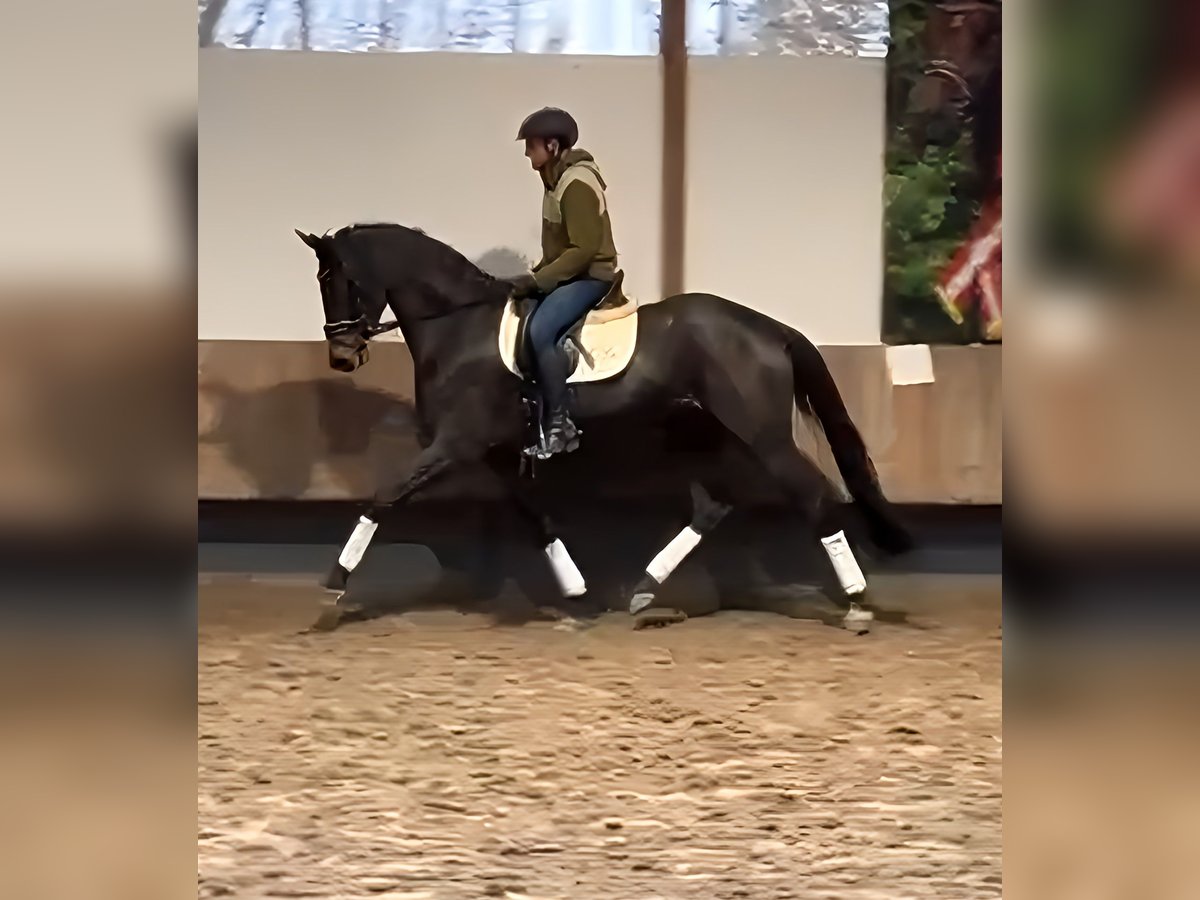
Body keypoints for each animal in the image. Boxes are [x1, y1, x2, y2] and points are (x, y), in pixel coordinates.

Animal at [297, 224, 907, 633]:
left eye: (338, 279)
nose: (341, 356)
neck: (459, 327)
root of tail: (770, 328)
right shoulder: (497, 453)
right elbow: (538, 521)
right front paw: (577, 596)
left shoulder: (456, 443)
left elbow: (383, 497)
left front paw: (333, 587)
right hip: (704, 433)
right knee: (714, 504)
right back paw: (643, 591)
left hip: (763, 436)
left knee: (811, 494)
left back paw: (856, 603)